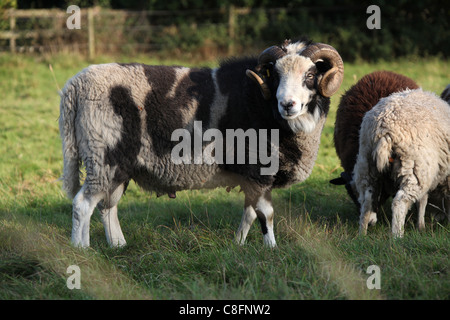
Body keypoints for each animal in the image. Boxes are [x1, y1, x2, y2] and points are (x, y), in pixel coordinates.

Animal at [59, 37, 344, 248]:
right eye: (274, 76)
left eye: (310, 75)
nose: (287, 104)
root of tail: (75, 86)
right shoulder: (258, 168)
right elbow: (266, 213)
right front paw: (272, 250)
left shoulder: (253, 176)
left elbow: (250, 212)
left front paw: (238, 245)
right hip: (103, 156)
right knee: (83, 204)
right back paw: (81, 250)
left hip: (118, 164)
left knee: (107, 207)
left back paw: (118, 246)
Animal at [356, 88, 450, 238]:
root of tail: (384, 129)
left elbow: (423, 200)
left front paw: (421, 226)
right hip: (414, 167)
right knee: (399, 202)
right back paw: (397, 236)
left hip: (367, 164)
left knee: (367, 199)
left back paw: (362, 234)